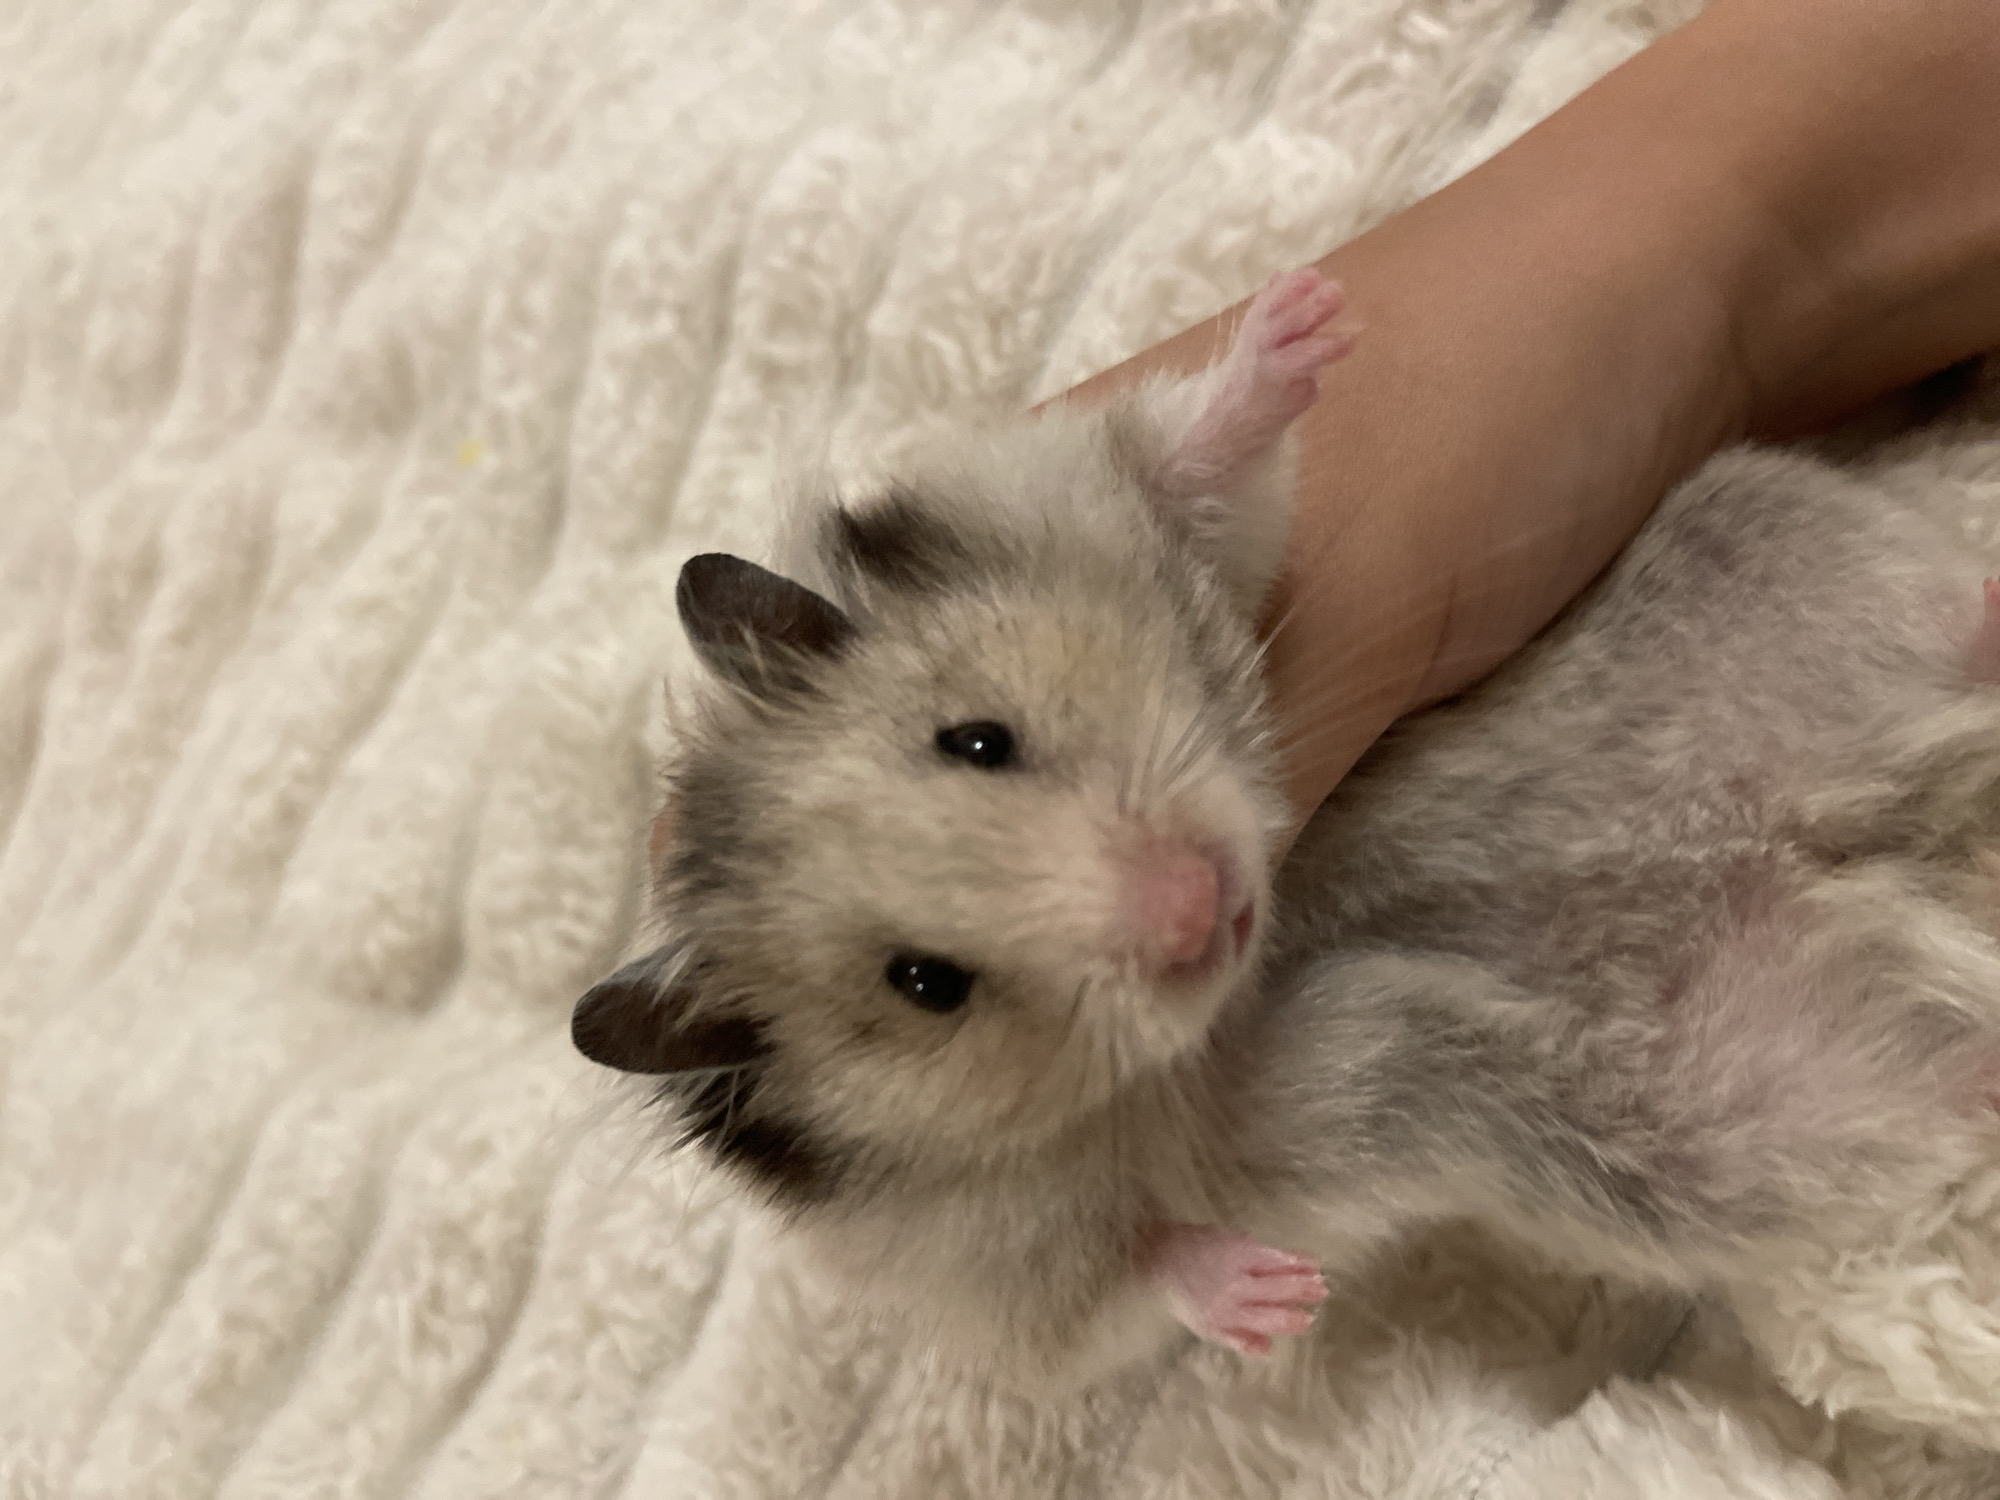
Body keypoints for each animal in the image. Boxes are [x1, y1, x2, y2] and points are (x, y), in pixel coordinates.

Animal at [572, 267, 2000, 1393]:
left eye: (976, 739)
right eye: (925, 984)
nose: (1201, 902)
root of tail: (1835, 814)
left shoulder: (1130, 517)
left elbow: (1200, 471)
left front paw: (1300, 321)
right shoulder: (1004, 1288)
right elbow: (1128, 1282)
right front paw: (1271, 1302)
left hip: (1759, 531)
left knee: (1940, 617)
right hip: (1696, 1138)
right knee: (1921, 1076)